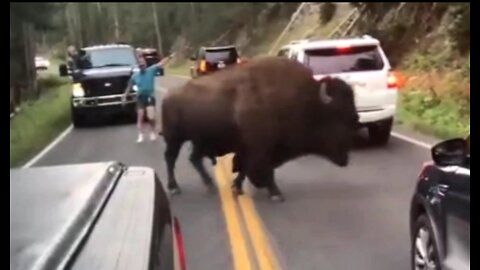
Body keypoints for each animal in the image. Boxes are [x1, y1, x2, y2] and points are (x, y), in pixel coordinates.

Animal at [163, 58, 358, 201]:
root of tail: (169, 97)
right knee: (171, 159)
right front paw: (276, 194)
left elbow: (244, 169)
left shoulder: (250, 149)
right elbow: (263, 170)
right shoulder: (260, 149)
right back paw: (174, 188)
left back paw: (210, 186)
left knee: (194, 159)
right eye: (337, 113)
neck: (305, 101)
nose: (357, 122)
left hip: (198, 141)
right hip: (175, 139)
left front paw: (237, 188)